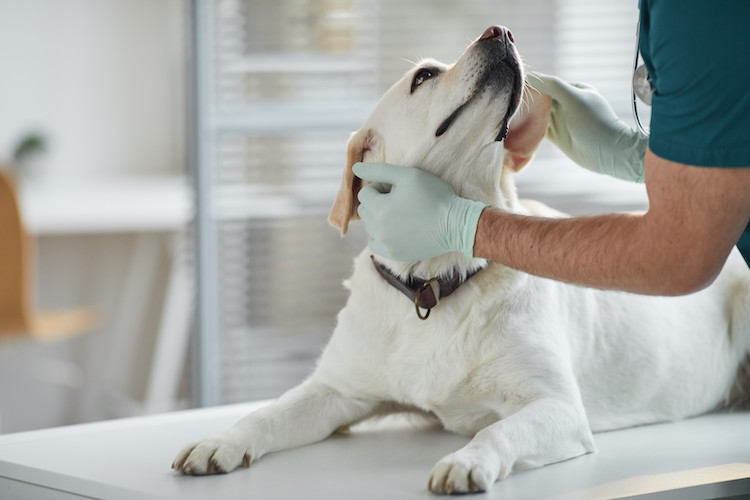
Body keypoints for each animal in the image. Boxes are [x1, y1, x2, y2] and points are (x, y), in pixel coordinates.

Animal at [175, 25, 750, 494]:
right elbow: (267, 414)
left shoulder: (557, 407)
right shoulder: (336, 392)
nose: (501, 30)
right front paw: (219, 442)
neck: (432, 284)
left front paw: (467, 460)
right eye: (424, 76)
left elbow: (499, 429)